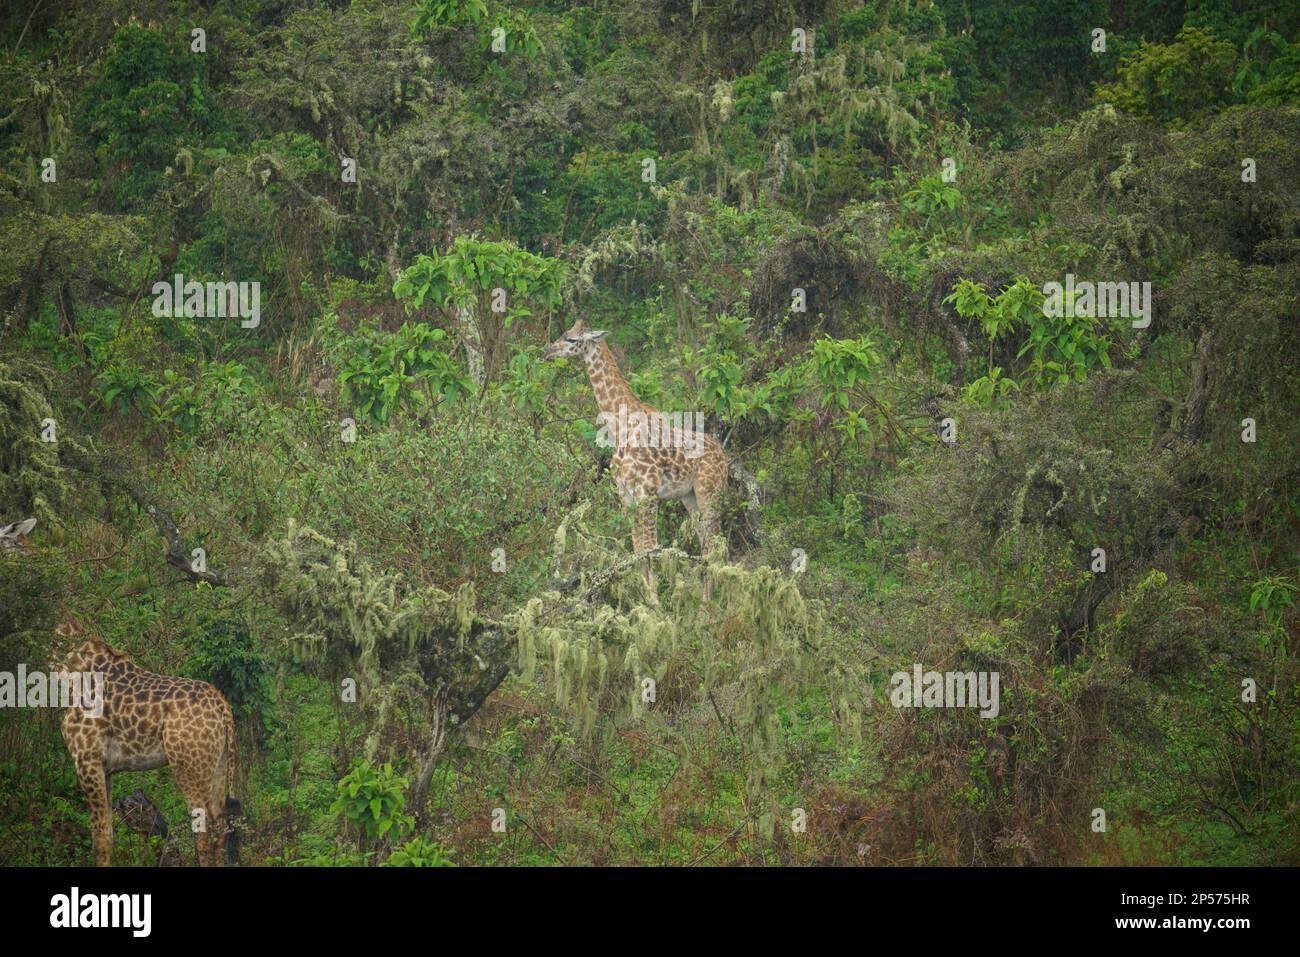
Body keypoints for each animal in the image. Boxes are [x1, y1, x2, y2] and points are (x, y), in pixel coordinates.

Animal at [55, 621, 241, 868]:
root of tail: (222, 706)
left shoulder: (87, 760)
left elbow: (99, 837)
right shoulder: (106, 769)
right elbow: (109, 833)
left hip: (189, 768)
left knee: (204, 829)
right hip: (220, 765)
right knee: (220, 826)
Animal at [540, 317, 733, 598]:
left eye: (572, 339)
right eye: (564, 334)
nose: (547, 352)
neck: (621, 427)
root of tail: (725, 458)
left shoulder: (647, 493)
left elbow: (650, 549)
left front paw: (655, 605)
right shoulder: (626, 496)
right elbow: (637, 550)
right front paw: (646, 602)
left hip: (710, 492)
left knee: (717, 545)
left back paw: (717, 604)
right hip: (690, 497)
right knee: (706, 543)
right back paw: (705, 603)